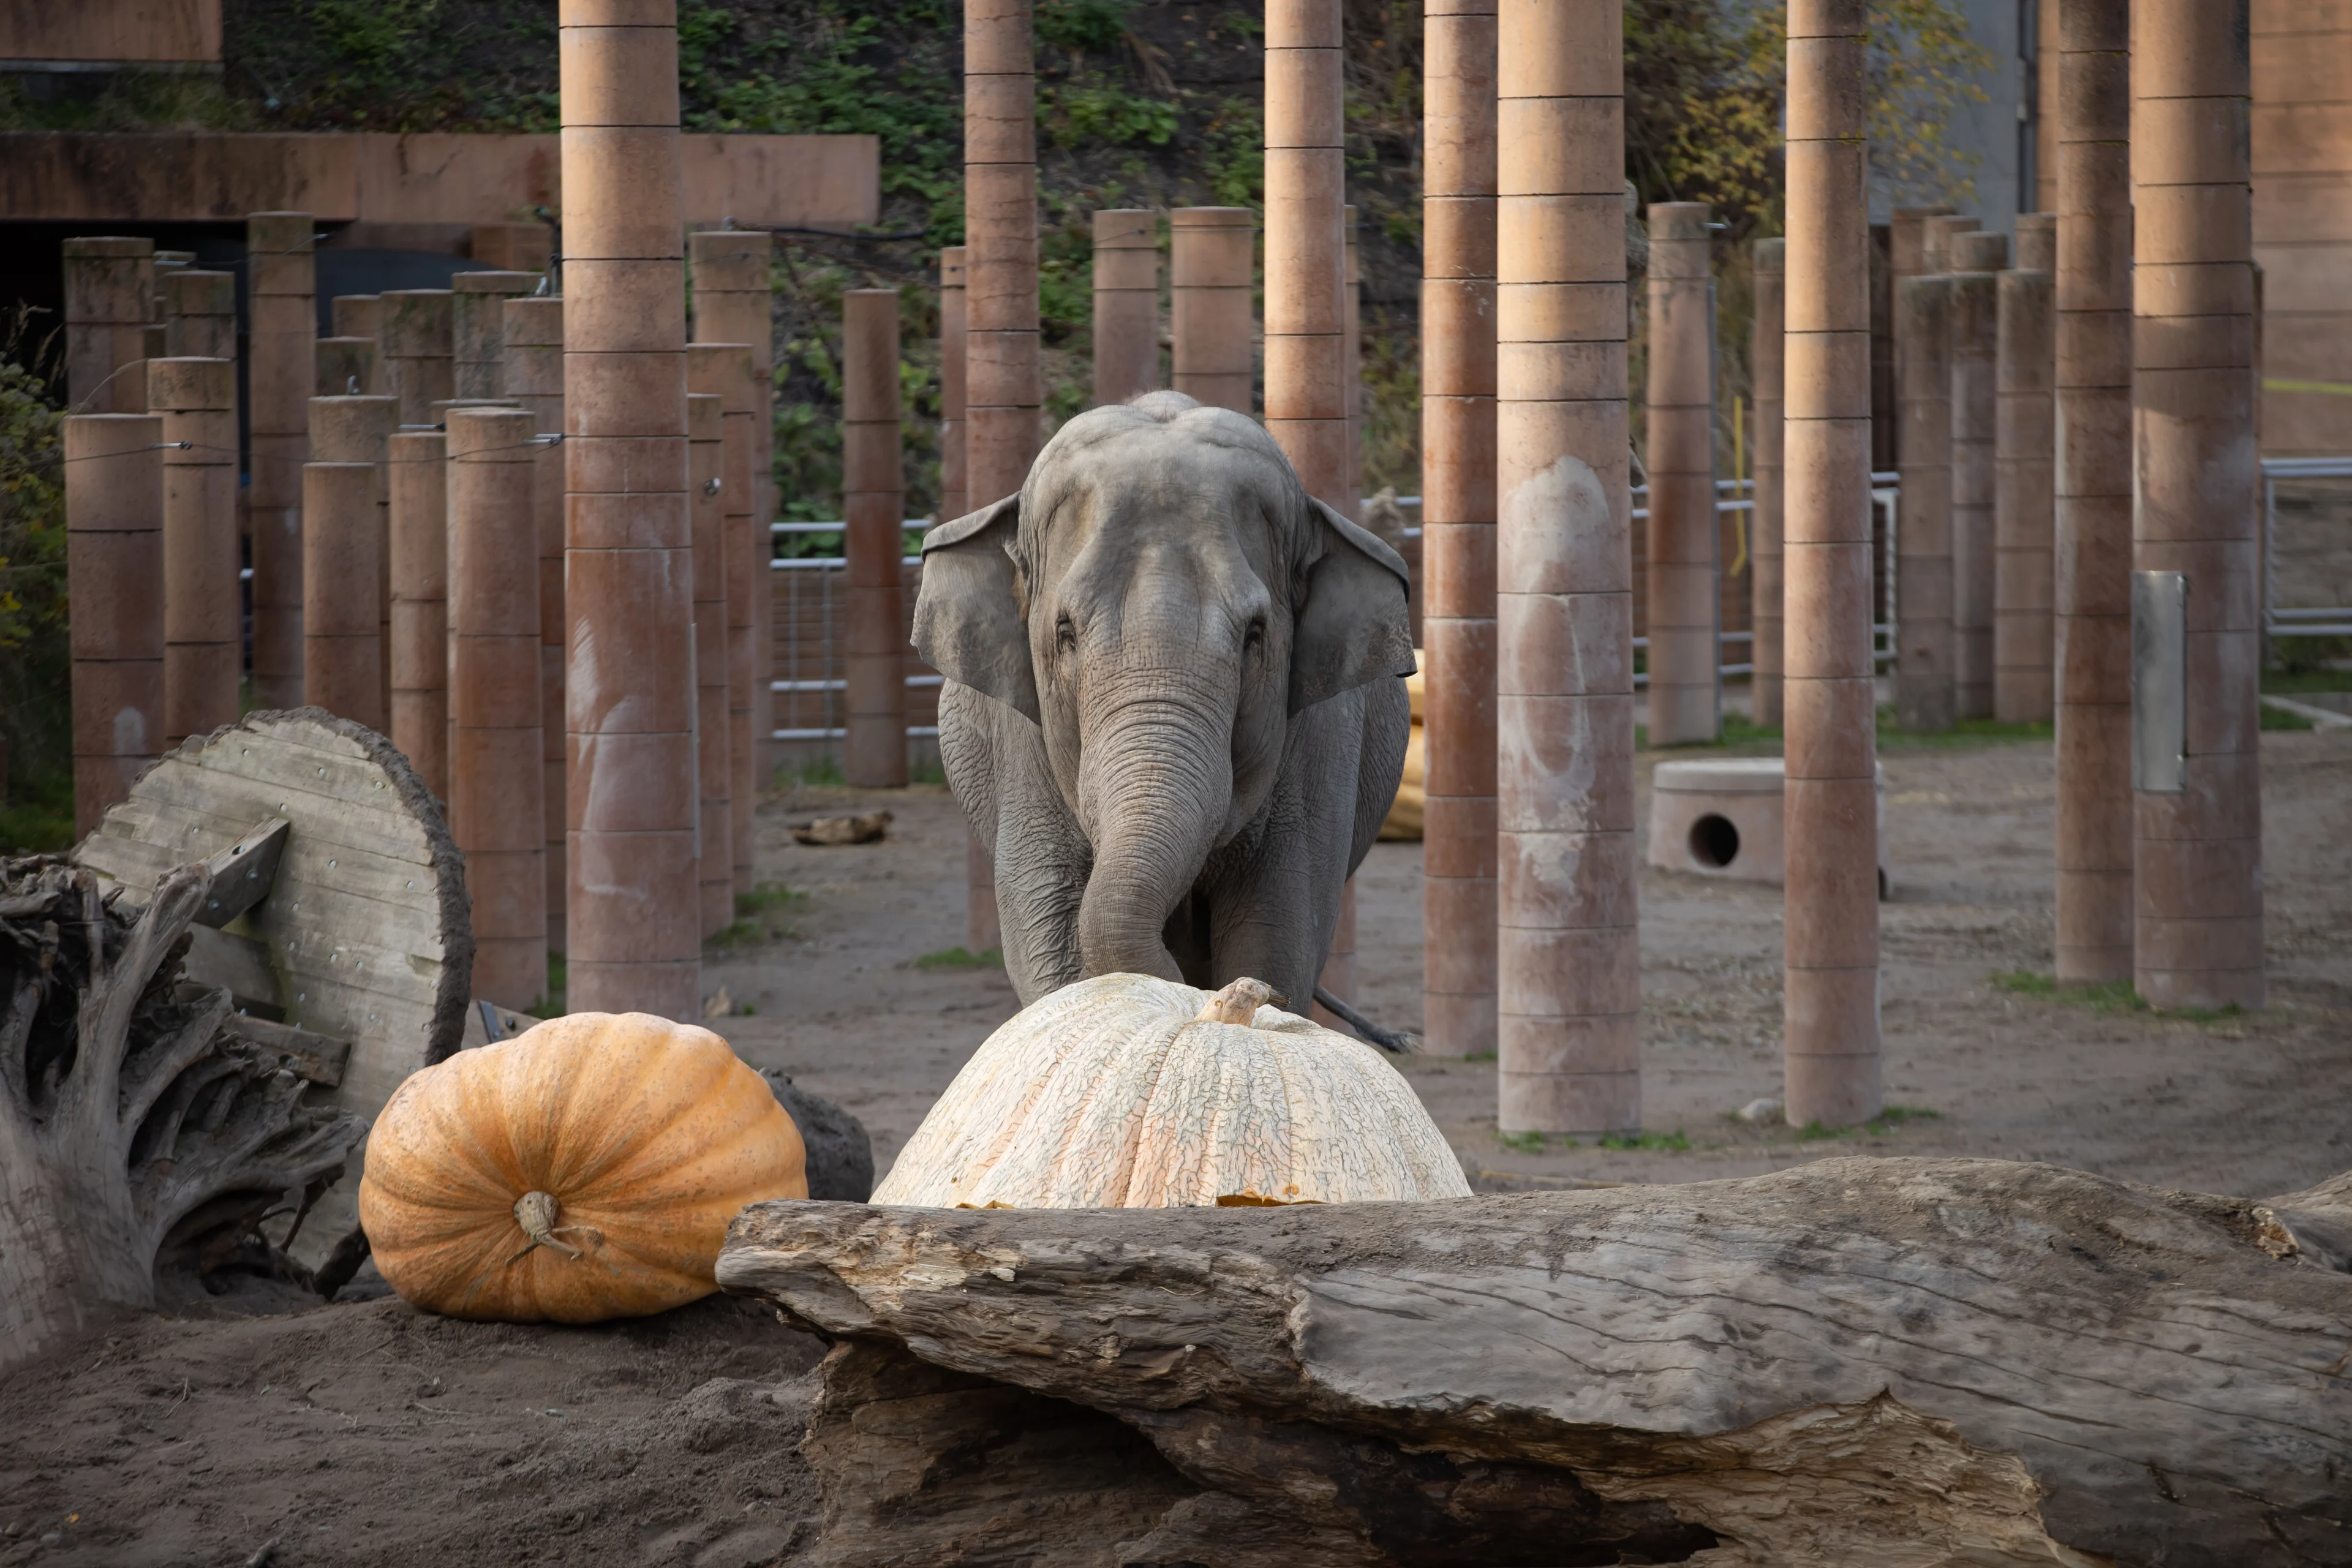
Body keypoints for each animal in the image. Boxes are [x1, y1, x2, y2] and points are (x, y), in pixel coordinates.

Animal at [908, 392, 1401, 1020]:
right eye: (1065, 634)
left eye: (1255, 636)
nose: (1193, 995)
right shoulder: (1022, 748)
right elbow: (1049, 935)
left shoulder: (1323, 742)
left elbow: (1275, 930)